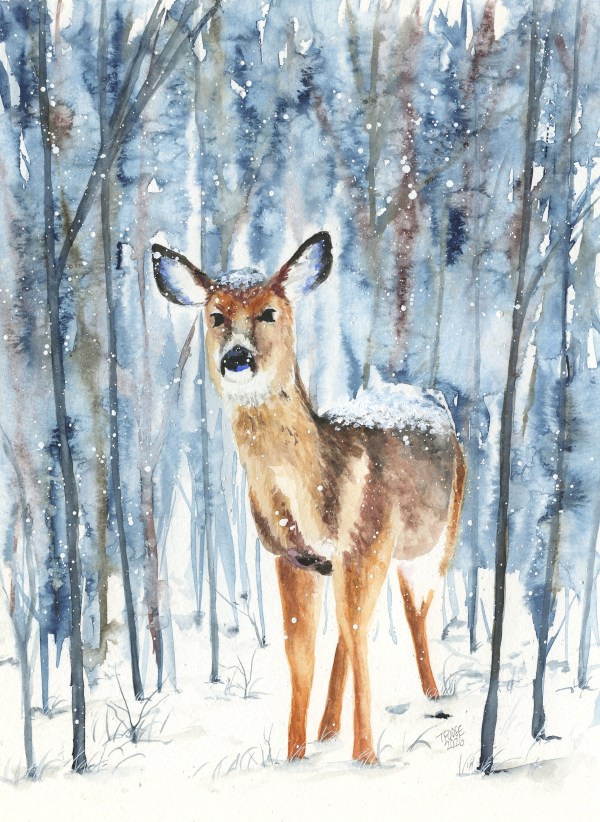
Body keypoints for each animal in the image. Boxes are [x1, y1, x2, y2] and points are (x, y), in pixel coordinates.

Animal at [152, 231, 465, 765]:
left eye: (269, 312)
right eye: (215, 315)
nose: (236, 357)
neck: (317, 493)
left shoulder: (368, 540)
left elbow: (359, 641)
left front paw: (365, 759)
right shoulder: (293, 557)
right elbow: (300, 654)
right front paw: (295, 755)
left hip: (435, 541)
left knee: (414, 612)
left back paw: (432, 696)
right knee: (350, 630)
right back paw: (328, 728)